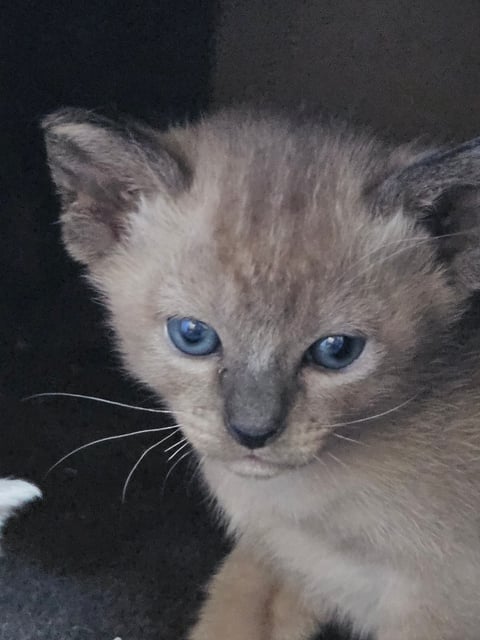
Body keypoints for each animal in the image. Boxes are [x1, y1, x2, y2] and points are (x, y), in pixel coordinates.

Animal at [43, 107, 480, 636]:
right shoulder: (277, 561)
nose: (252, 433)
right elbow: (228, 612)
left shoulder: (437, 607)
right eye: (193, 335)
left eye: (337, 350)